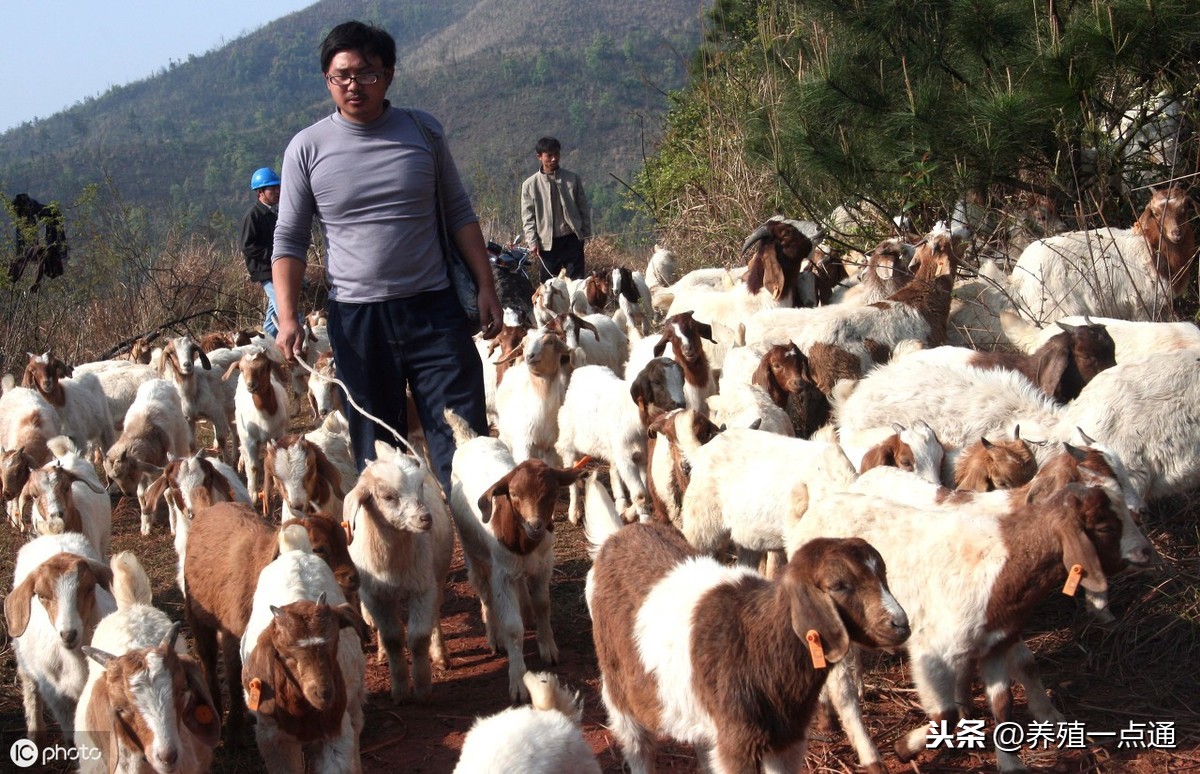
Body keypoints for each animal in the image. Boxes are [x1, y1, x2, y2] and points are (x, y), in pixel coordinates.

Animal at [585, 516, 902, 768]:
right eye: (838, 585)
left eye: (884, 574)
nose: (900, 623)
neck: (759, 641)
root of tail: (614, 537)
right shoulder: (737, 742)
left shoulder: (787, 738)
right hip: (618, 687)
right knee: (637, 745)